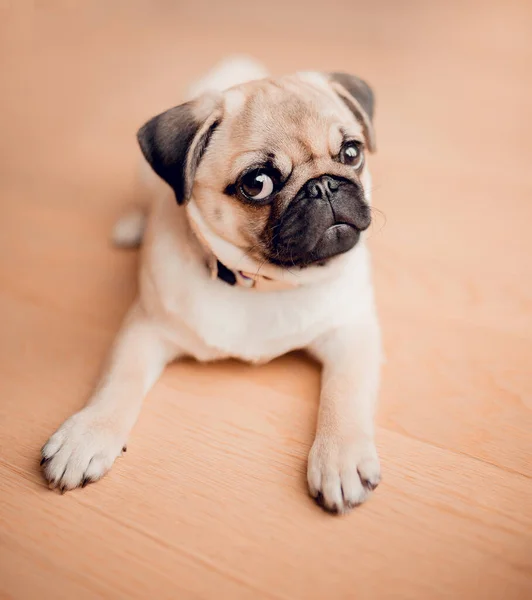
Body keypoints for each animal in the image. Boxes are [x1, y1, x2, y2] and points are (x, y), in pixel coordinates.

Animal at [41, 56, 382, 512]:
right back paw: (132, 226)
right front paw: (85, 434)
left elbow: (344, 393)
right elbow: (117, 382)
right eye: (257, 184)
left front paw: (339, 458)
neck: (265, 283)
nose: (324, 185)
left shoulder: (352, 331)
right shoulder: (146, 328)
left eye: (351, 153)